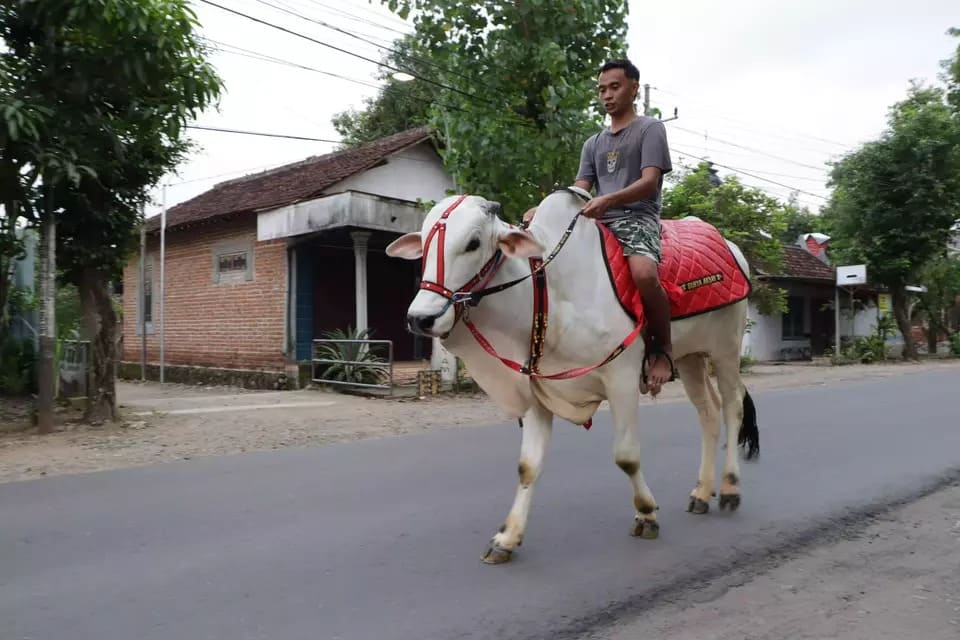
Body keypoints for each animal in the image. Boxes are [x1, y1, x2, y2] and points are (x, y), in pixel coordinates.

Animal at [386, 186, 760, 564]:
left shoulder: (622, 378)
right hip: (689, 358)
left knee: (732, 406)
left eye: (474, 242)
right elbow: (528, 465)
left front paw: (646, 514)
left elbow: (626, 457)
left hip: (726, 349)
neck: (546, 294)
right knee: (708, 413)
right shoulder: (536, 390)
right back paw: (701, 492)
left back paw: (729, 488)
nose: (421, 318)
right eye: (424, 243)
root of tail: (731, 246)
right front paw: (507, 538)